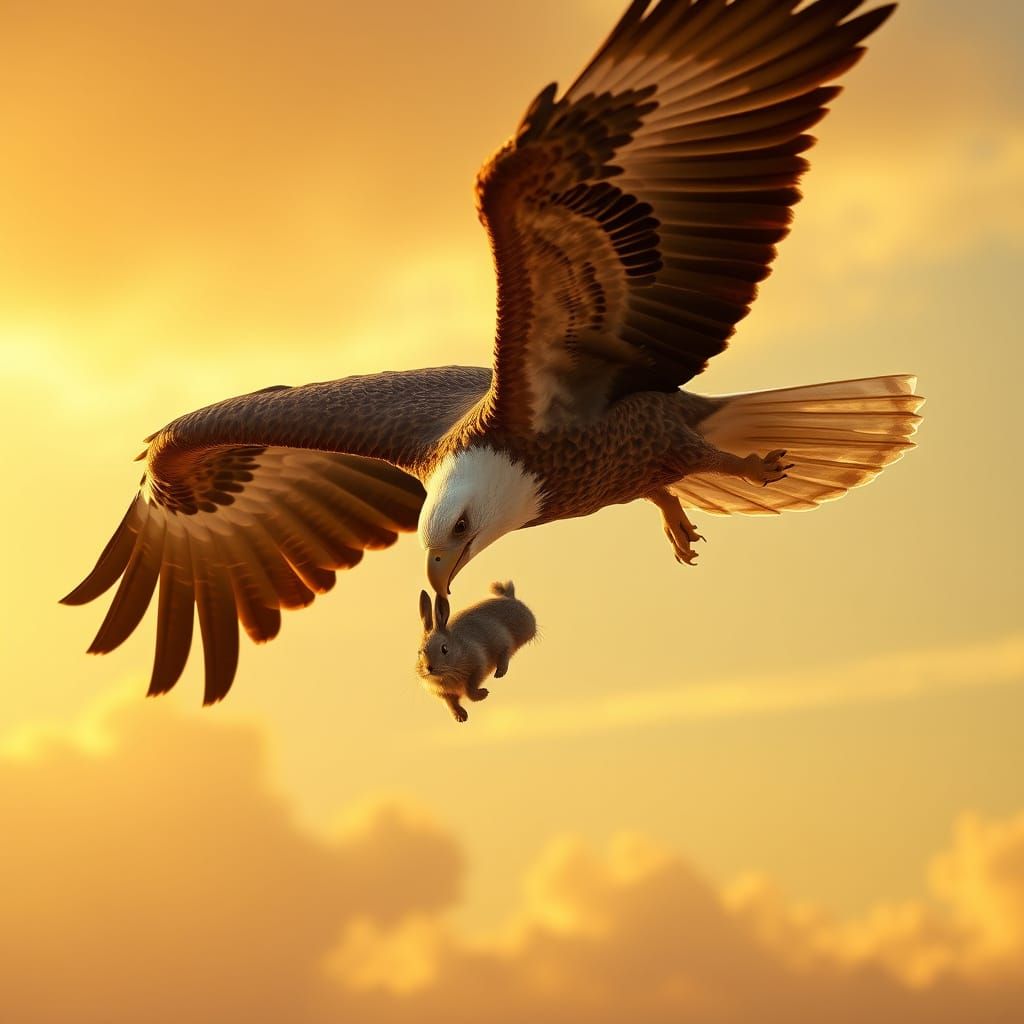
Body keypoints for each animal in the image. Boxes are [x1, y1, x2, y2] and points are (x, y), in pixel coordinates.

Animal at [416, 581, 537, 723]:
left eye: (444, 649)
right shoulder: (445, 694)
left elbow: (470, 691)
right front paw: (461, 717)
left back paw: (499, 673)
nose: (429, 668)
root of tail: (510, 597)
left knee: (505, 652)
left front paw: (483, 694)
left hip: (502, 638)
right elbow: (451, 705)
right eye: (419, 652)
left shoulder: (478, 665)